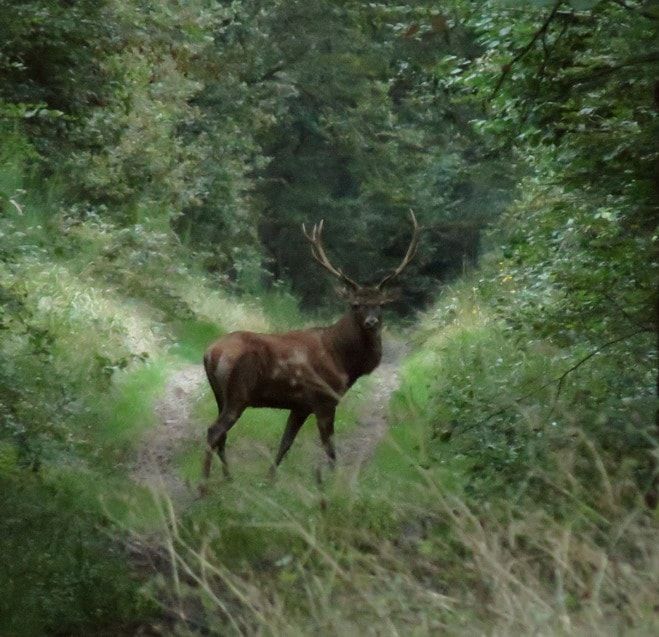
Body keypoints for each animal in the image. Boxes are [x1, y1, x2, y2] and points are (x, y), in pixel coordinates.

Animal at [201, 211, 420, 486]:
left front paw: (269, 479)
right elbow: (329, 446)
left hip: (220, 395)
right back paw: (204, 484)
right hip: (239, 393)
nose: (372, 322)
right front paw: (334, 482)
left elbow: (285, 442)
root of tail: (211, 353)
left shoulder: (300, 405)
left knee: (221, 435)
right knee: (213, 431)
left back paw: (228, 478)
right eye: (355, 304)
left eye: (381, 304)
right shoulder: (324, 398)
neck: (343, 362)